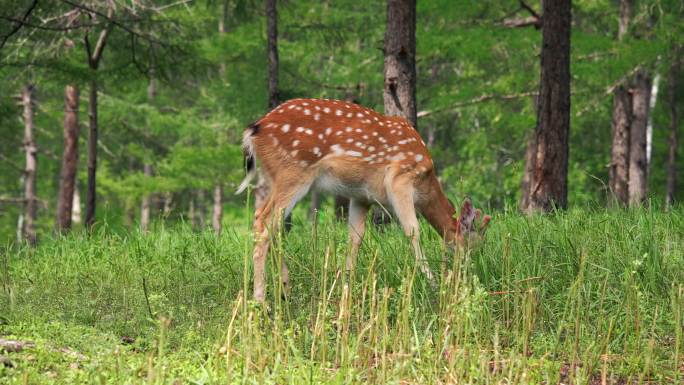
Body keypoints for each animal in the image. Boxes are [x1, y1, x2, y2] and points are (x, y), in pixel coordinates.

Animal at [238, 97, 488, 300]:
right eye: (474, 244)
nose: (473, 271)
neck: (425, 184)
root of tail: (255, 129)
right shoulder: (400, 178)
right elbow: (412, 230)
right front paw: (433, 283)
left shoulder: (362, 196)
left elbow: (355, 237)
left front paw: (346, 287)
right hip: (293, 172)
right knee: (263, 222)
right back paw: (260, 299)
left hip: (275, 178)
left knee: (271, 223)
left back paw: (285, 287)